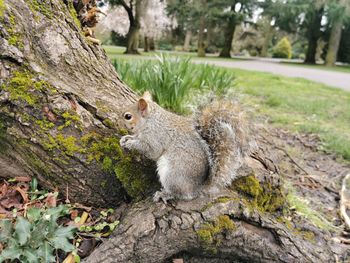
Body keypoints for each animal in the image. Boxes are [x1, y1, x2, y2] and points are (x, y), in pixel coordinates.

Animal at [119, 92, 253, 203]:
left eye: (128, 116)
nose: (120, 122)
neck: (150, 120)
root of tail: (197, 188)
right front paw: (126, 138)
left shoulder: (156, 136)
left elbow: (152, 151)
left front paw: (131, 144)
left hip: (173, 175)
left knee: (184, 195)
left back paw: (165, 194)